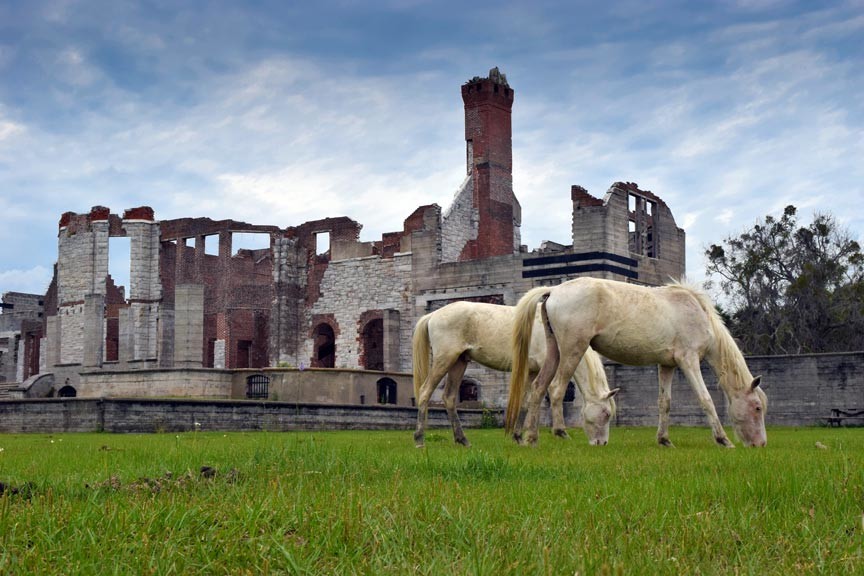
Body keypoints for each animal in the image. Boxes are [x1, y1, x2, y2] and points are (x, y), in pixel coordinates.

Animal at [410, 302, 616, 450]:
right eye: (606, 414)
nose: (602, 443)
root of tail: (432, 315)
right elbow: (547, 395)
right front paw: (558, 433)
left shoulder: (531, 372)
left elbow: (525, 402)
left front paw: (518, 437)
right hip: (445, 359)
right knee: (425, 391)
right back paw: (419, 439)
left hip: (459, 362)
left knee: (449, 398)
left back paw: (463, 440)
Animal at [506, 280, 768, 450]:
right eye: (757, 408)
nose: (761, 444)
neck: (696, 312)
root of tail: (553, 290)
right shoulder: (689, 360)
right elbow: (706, 400)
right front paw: (723, 440)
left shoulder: (667, 365)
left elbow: (665, 403)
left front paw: (664, 439)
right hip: (573, 349)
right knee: (556, 388)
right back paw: (560, 432)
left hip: (555, 352)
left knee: (538, 388)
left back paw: (530, 437)